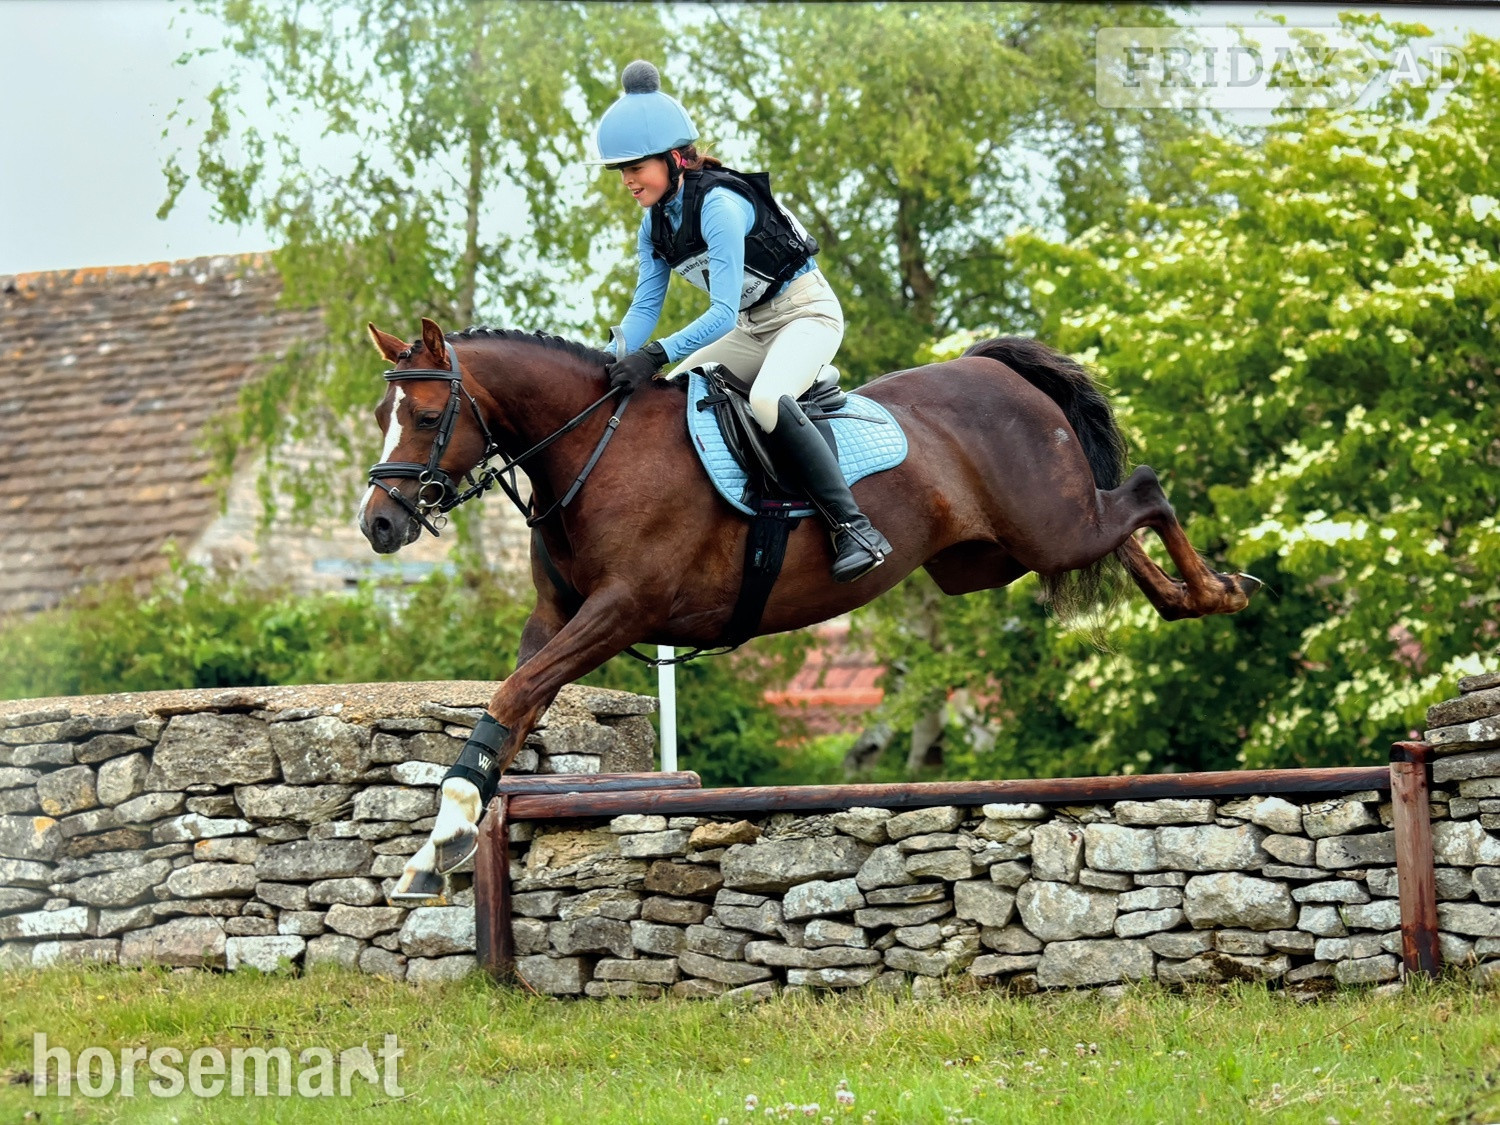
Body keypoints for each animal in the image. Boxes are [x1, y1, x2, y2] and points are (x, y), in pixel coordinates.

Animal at [359, 317, 1260, 901]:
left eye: (429, 417)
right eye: (380, 415)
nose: (379, 525)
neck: (593, 451)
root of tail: (992, 366)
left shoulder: (621, 611)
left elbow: (516, 694)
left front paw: (445, 835)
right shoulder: (557, 618)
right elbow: (510, 707)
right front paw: (435, 845)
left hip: (1046, 524)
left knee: (1143, 492)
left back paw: (1217, 590)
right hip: (996, 554)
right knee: (1118, 523)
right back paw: (1186, 595)